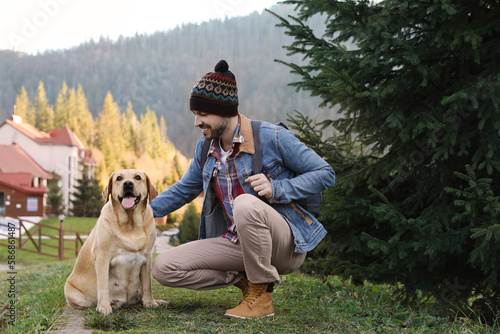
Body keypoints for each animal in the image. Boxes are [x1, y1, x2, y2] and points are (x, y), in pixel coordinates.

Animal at [63, 171, 166, 314]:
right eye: (119, 178)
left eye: (138, 177)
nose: (127, 184)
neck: (130, 225)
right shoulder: (102, 257)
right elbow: (103, 286)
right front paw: (104, 307)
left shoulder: (147, 257)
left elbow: (147, 284)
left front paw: (150, 302)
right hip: (70, 289)